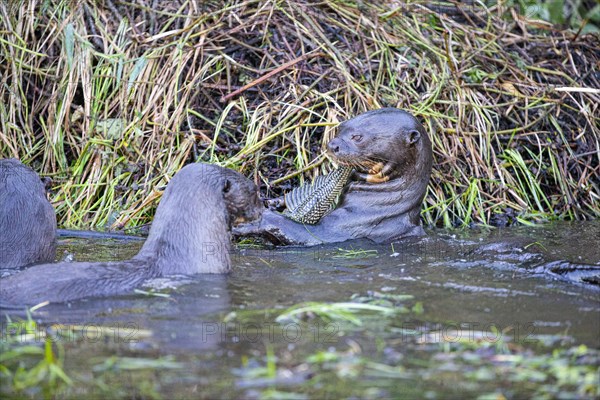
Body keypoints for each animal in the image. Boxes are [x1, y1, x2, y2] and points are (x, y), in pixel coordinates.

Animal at [233, 108, 432, 245]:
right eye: (340, 128)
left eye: (357, 137)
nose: (332, 145)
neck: (380, 205)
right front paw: (273, 202)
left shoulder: (350, 227)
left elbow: (306, 234)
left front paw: (255, 219)